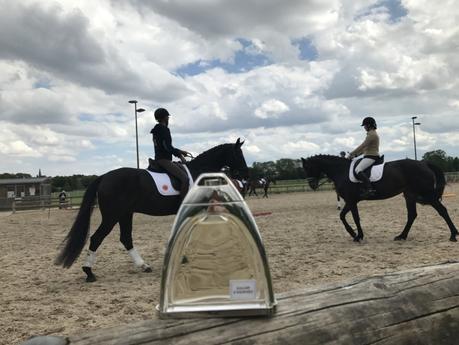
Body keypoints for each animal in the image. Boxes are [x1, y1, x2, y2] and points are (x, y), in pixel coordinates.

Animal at [302, 155, 456, 241]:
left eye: (308, 168)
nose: (312, 185)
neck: (342, 171)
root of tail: (424, 163)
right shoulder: (351, 201)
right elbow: (342, 216)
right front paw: (354, 233)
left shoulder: (351, 200)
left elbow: (354, 218)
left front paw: (357, 236)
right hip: (410, 195)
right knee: (412, 215)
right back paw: (401, 236)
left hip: (427, 194)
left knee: (442, 210)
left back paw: (453, 235)